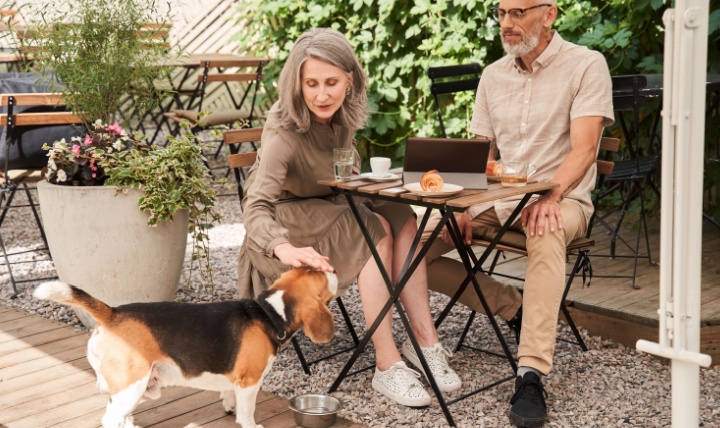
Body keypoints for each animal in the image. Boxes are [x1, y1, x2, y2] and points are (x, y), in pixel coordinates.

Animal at [33, 268, 338, 428]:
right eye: (322, 276)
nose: (332, 268)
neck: (269, 312)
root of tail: (113, 313)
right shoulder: (250, 382)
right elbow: (247, 412)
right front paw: (250, 424)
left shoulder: (234, 378)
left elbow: (229, 395)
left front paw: (228, 406)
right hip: (132, 385)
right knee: (109, 418)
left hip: (132, 389)